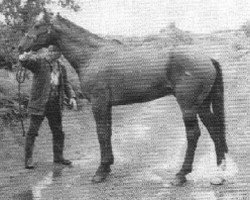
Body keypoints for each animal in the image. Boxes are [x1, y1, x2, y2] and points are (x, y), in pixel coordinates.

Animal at [17, 11, 229, 186]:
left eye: (37, 25)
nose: (20, 47)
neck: (92, 55)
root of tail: (207, 58)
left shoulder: (99, 103)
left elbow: (102, 133)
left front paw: (100, 172)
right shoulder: (107, 105)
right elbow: (108, 133)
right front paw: (108, 166)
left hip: (188, 106)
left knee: (193, 134)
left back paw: (181, 175)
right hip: (201, 105)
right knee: (215, 130)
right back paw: (219, 174)